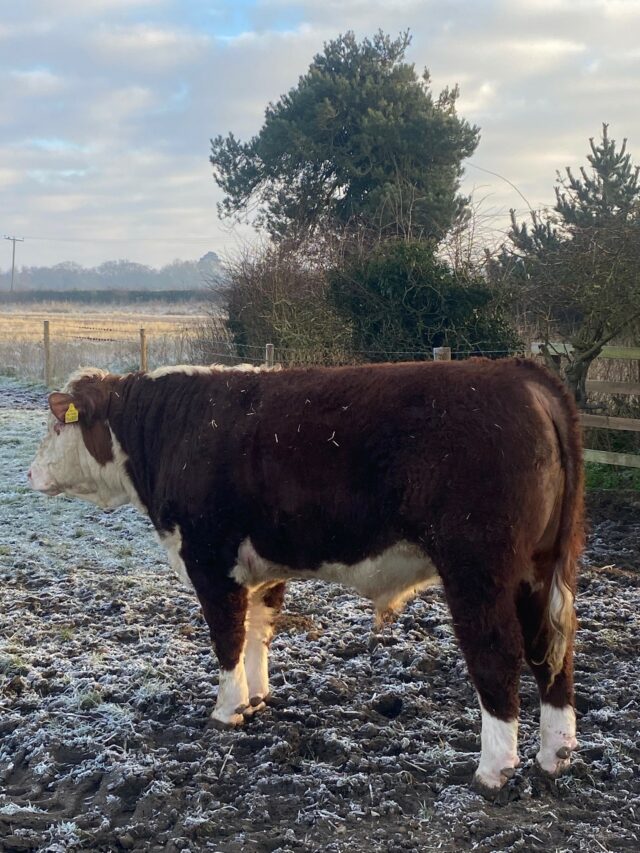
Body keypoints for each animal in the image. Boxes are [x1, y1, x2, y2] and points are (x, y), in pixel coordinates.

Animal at [27, 358, 584, 792]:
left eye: (56, 426)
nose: (29, 473)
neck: (170, 431)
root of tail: (521, 375)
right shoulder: (260, 568)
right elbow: (257, 632)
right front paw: (255, 698)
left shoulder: (209, 559)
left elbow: (227, 638)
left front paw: (226, 710)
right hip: (540, 569)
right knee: (551, 652)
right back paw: (554, 754)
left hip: (478, 569)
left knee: (499, 653)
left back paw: (493, 769)